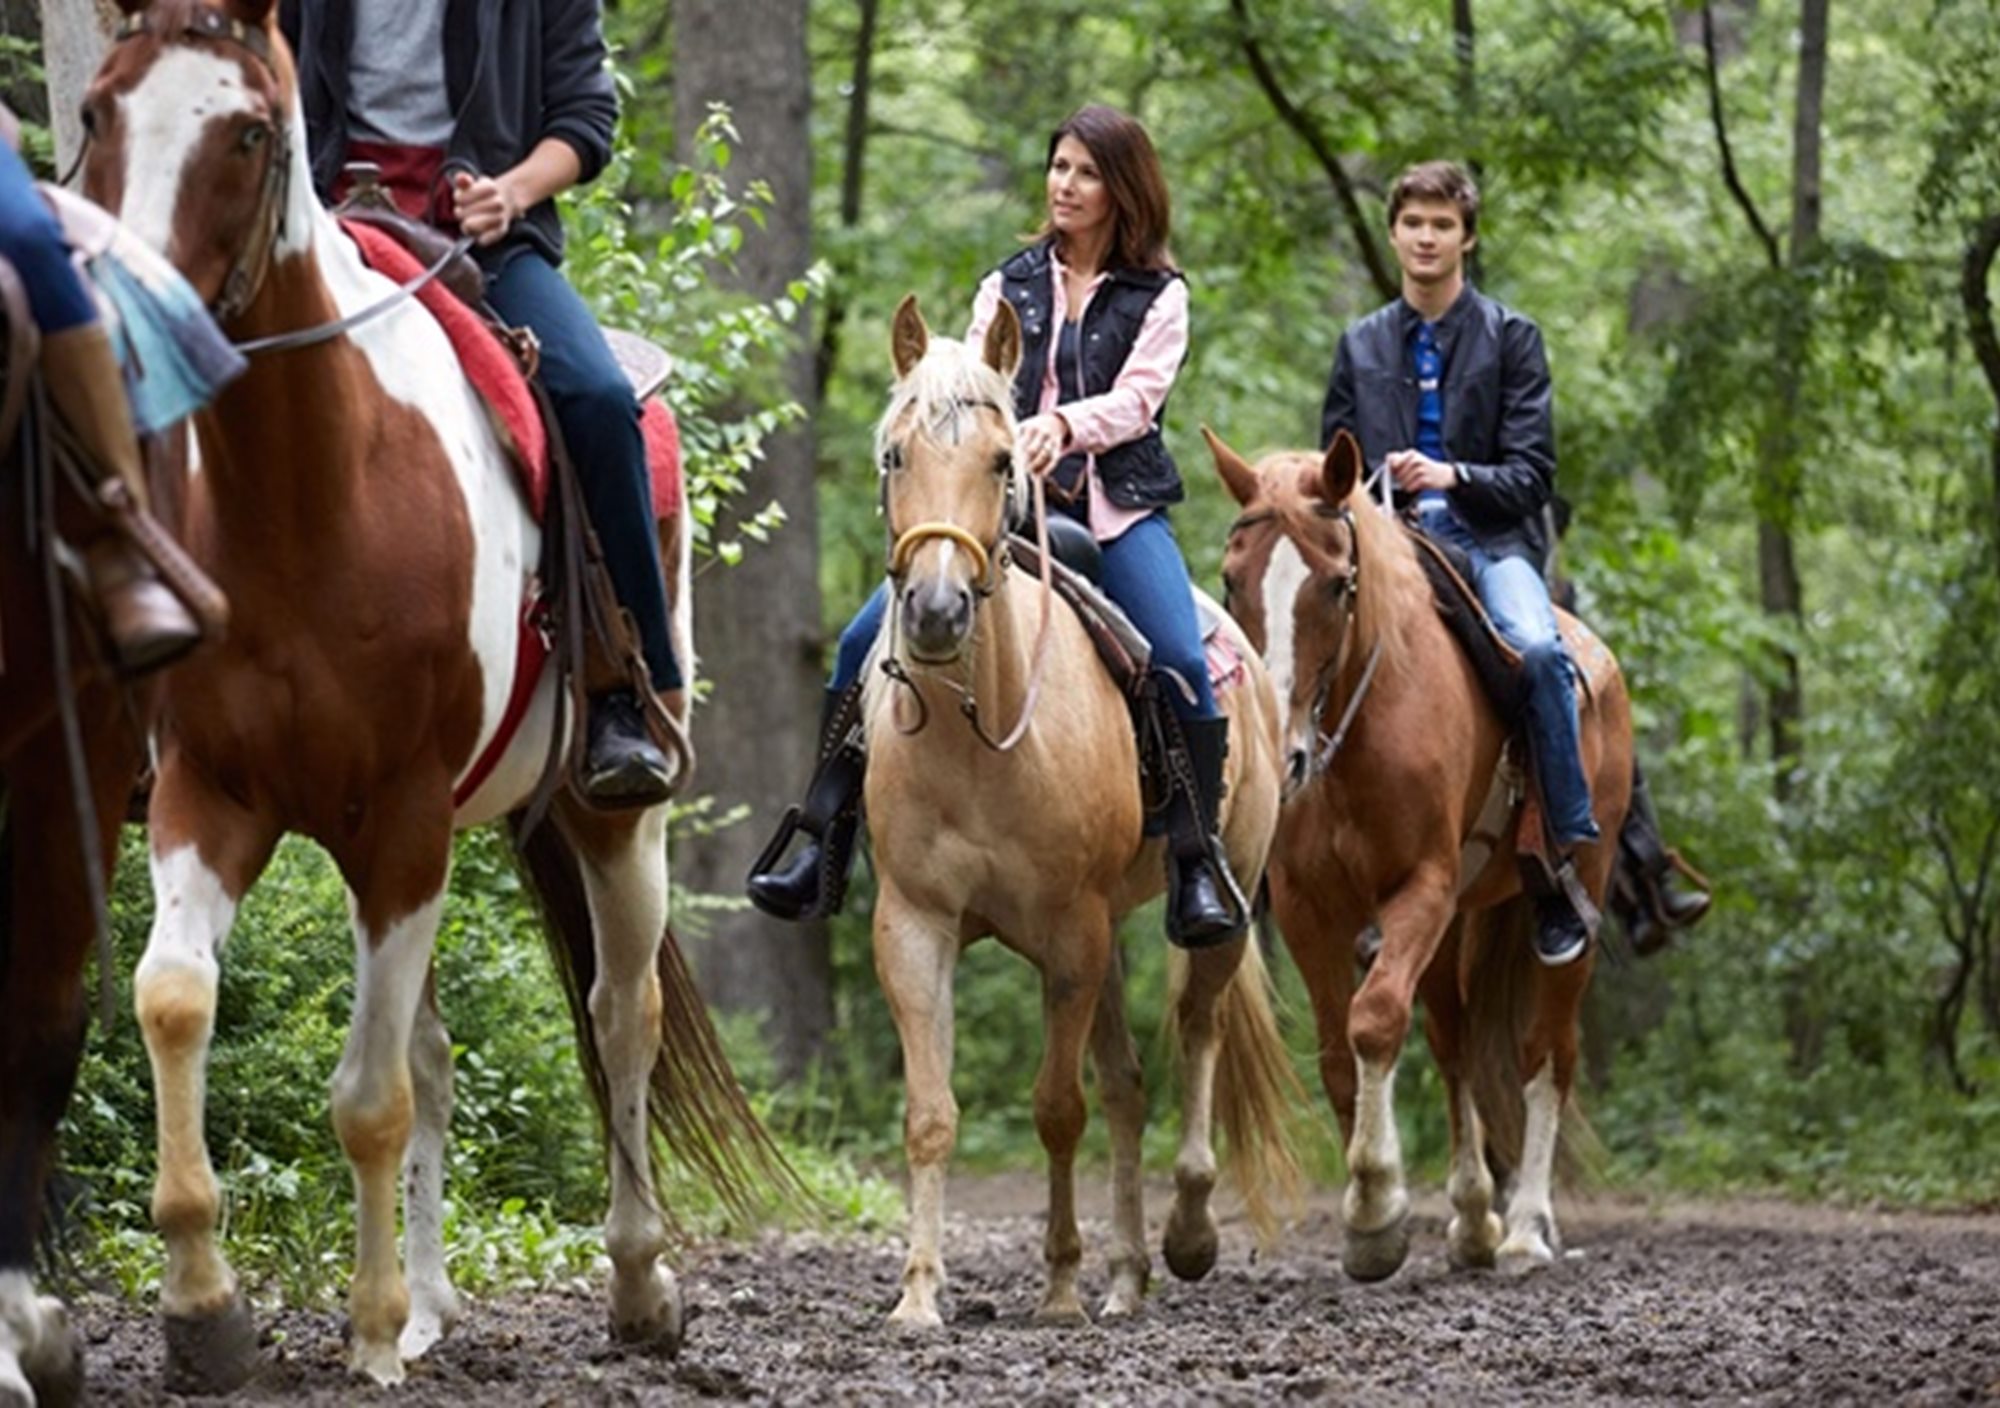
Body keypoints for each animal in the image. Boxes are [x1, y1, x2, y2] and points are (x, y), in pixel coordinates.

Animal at [86, 0, 776, 1384]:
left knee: (619, 1016)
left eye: (248, 133)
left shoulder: (399, 824)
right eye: (97, 109)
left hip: (612, 815)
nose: (130, 324)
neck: (311, 488)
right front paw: (206, 1311)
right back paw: (434, 1300)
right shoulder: (210, 797)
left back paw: (636, 1285)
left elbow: (368, 1099)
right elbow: (176, 998)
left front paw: (364, 1333)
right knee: (442, 1054)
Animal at [872, 296, 1296, 1328]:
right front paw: (919, 1295)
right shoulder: (914, 924)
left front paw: (1060, 1286)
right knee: (1128, 1085)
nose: (936, 610)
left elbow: (1056, 1108)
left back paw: (1184, 1238)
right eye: (895, 455)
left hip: (1211, 907)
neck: (978, 737)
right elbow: (931, 1115)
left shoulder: (1070, 933)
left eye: (1000, 461)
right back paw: (1128, 1274)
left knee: (1193, 1036)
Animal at [1200, 434, 1624, 1280]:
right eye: (1233, 578)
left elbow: (1374, 1021)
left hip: (1568, 909)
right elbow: (1341, 1051)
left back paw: (1526, 1227)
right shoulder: (1310, 910)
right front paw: (1379, 1211)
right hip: (1456, 922)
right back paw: (1474, 1221)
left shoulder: (1419, 888)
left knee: (1546, 1053)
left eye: (1338, 584)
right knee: (1455, 1042)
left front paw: (1375, 1210)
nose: (1286, 757)